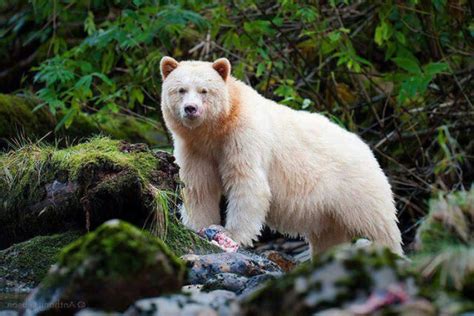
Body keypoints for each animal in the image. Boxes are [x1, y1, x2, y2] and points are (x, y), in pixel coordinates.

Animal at [160, 55, 404, 256]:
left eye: (204, 90)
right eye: (181, 90)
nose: (191, 109)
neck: (217, 129)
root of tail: (366, 148)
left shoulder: (243, 137)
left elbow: (248, 184)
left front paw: (230, 234)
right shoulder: (195, 149)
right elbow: (198, 186)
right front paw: (197, 226)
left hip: (356, 188)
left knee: (377, 225)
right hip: (328, 209)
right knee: (329, 236)